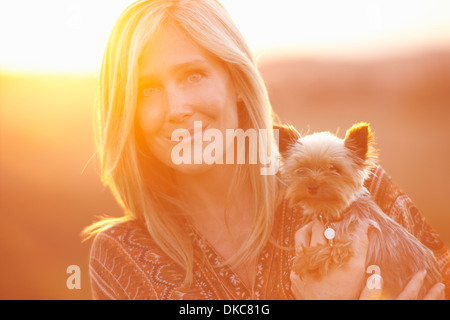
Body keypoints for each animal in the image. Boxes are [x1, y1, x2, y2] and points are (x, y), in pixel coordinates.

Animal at [278, 121, 442, 298]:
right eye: (301, 170)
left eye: (334, 169)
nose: (312, 186)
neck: (337, 214)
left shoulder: (349, 243)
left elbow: (332, 249)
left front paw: (304, 260)